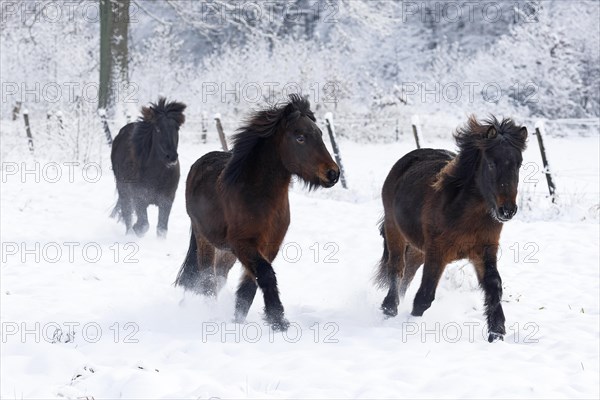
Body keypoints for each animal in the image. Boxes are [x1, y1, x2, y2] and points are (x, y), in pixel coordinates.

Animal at [110, 97, 185, 238]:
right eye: (158, 129)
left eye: (177, 128)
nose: (171, 157)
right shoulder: (139, 198)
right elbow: (143, 225)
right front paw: (136, 230)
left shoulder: (167, 200)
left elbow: (161, 229)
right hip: (123, 190)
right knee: (127, 213)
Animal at [176, 94, 340, 332]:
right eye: (300, 137)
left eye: (320, 133)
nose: (333, 174)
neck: (257, 196)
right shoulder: (243, 244)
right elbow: (266, 275)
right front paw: (278, 320)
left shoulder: (269, 246)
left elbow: (249, 287)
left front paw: (239, 321)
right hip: (206, 240)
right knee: (207, 279)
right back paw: (208, 314)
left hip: (226, 253)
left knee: (218, 278)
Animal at [378, 115, 528, 340]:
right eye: (491, 163)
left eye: (519, 164)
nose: (507, 210)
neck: (464, 214)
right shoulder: (437, 252)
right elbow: (424, 296)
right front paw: (412, 327)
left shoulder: (485, 249)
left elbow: (494, 286)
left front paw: (496, 333)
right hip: (394, 230)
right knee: (397, 268)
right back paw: (389, 308)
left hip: (418, 249)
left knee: (408, 272)